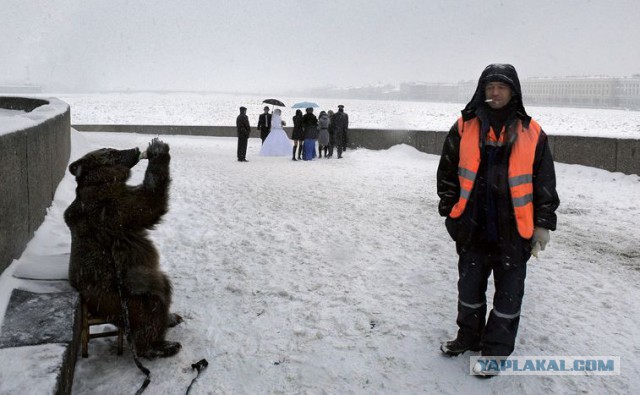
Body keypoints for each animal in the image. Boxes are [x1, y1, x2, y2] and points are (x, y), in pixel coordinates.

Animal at [65, 138, 181, 358]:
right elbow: (147, 203)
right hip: (126, 296)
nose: (135, 149)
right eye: (111, 152)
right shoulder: (111, 208)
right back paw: (160, 345)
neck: (100, 181)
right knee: (153, 306)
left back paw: (170, 319)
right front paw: (158, 150)